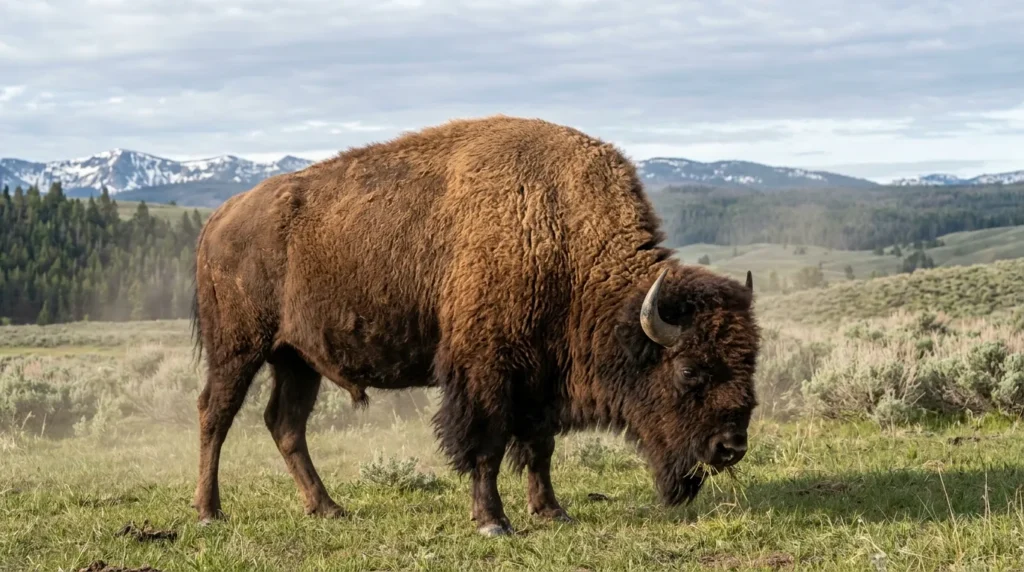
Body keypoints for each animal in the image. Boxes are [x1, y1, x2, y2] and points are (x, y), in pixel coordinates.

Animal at [189, 115, 761, 536]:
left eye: (748, 364)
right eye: (688, 372)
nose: (730, 447)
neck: (561, 233)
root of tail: (219, 216)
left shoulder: (540, 377)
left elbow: (539, 448)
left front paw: (552, 511)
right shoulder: (487, 371)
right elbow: (486, 445)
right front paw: (492, 521)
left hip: (297, 359)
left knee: (286, 425)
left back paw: (327, 507)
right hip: (238, 348)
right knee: (215, 415)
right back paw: (210, 512)